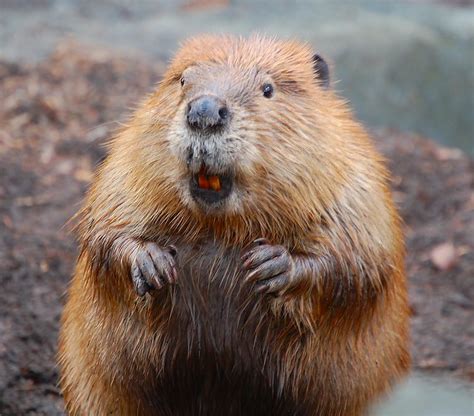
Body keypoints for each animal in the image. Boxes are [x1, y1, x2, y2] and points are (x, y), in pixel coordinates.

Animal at [57, 35, 410, 416]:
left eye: (268, 88)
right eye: (183, 80)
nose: (205, 112)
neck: (220, 228)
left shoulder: (356, 186)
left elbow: (357, 262)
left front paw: (271, 265)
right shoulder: (125, 163)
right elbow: (106, 227)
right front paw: (153, 263)